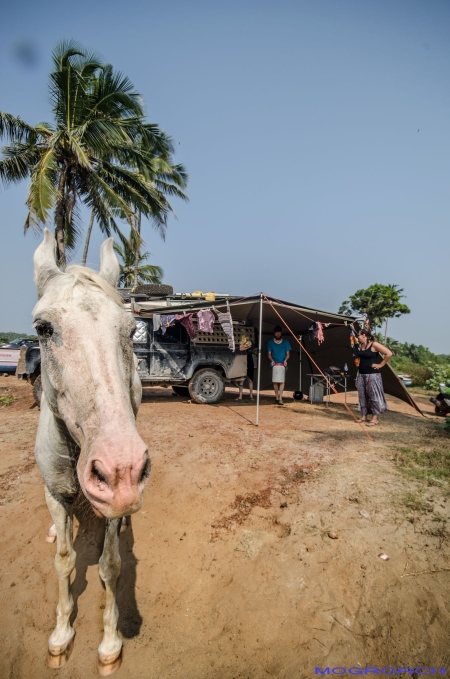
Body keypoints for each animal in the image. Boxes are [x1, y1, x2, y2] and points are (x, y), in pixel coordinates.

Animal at [32, 230, 151, 676]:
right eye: (43, 328)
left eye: (130, 329)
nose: (120, 469)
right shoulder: (55, 493)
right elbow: (65, 561)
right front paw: (61, 634)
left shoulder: (114, 504)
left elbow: (111, 565)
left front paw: (110, 643)